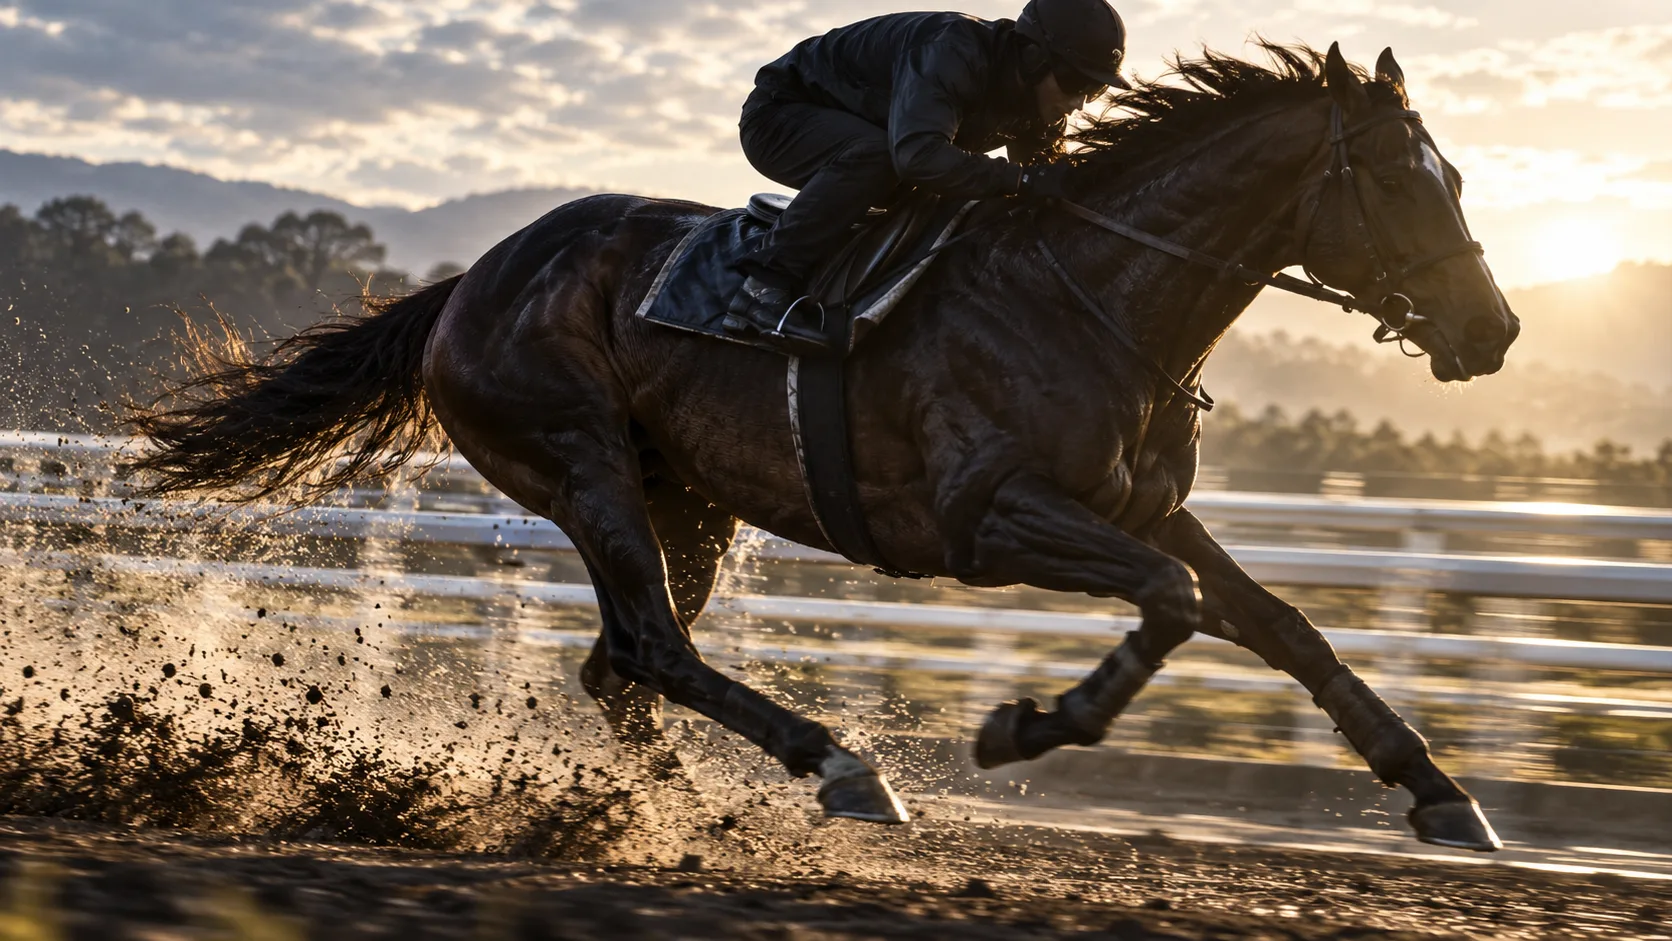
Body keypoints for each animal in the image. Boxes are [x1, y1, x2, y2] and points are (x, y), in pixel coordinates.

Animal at [130, 43, 1519, 851]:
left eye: (1454, 176)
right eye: (1403, 179)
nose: (1493, 331)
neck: (1097, 293)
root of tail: (468, 284)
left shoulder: (1142, 507)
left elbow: (1282, 621)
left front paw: (1435, 787)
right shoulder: (988, 514)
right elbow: (1174, 601)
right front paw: (1028, 725)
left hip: (686, 499)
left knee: (621, 664)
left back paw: (667, 805)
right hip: (579, 461)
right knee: (653, 647)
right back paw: (840, 765)